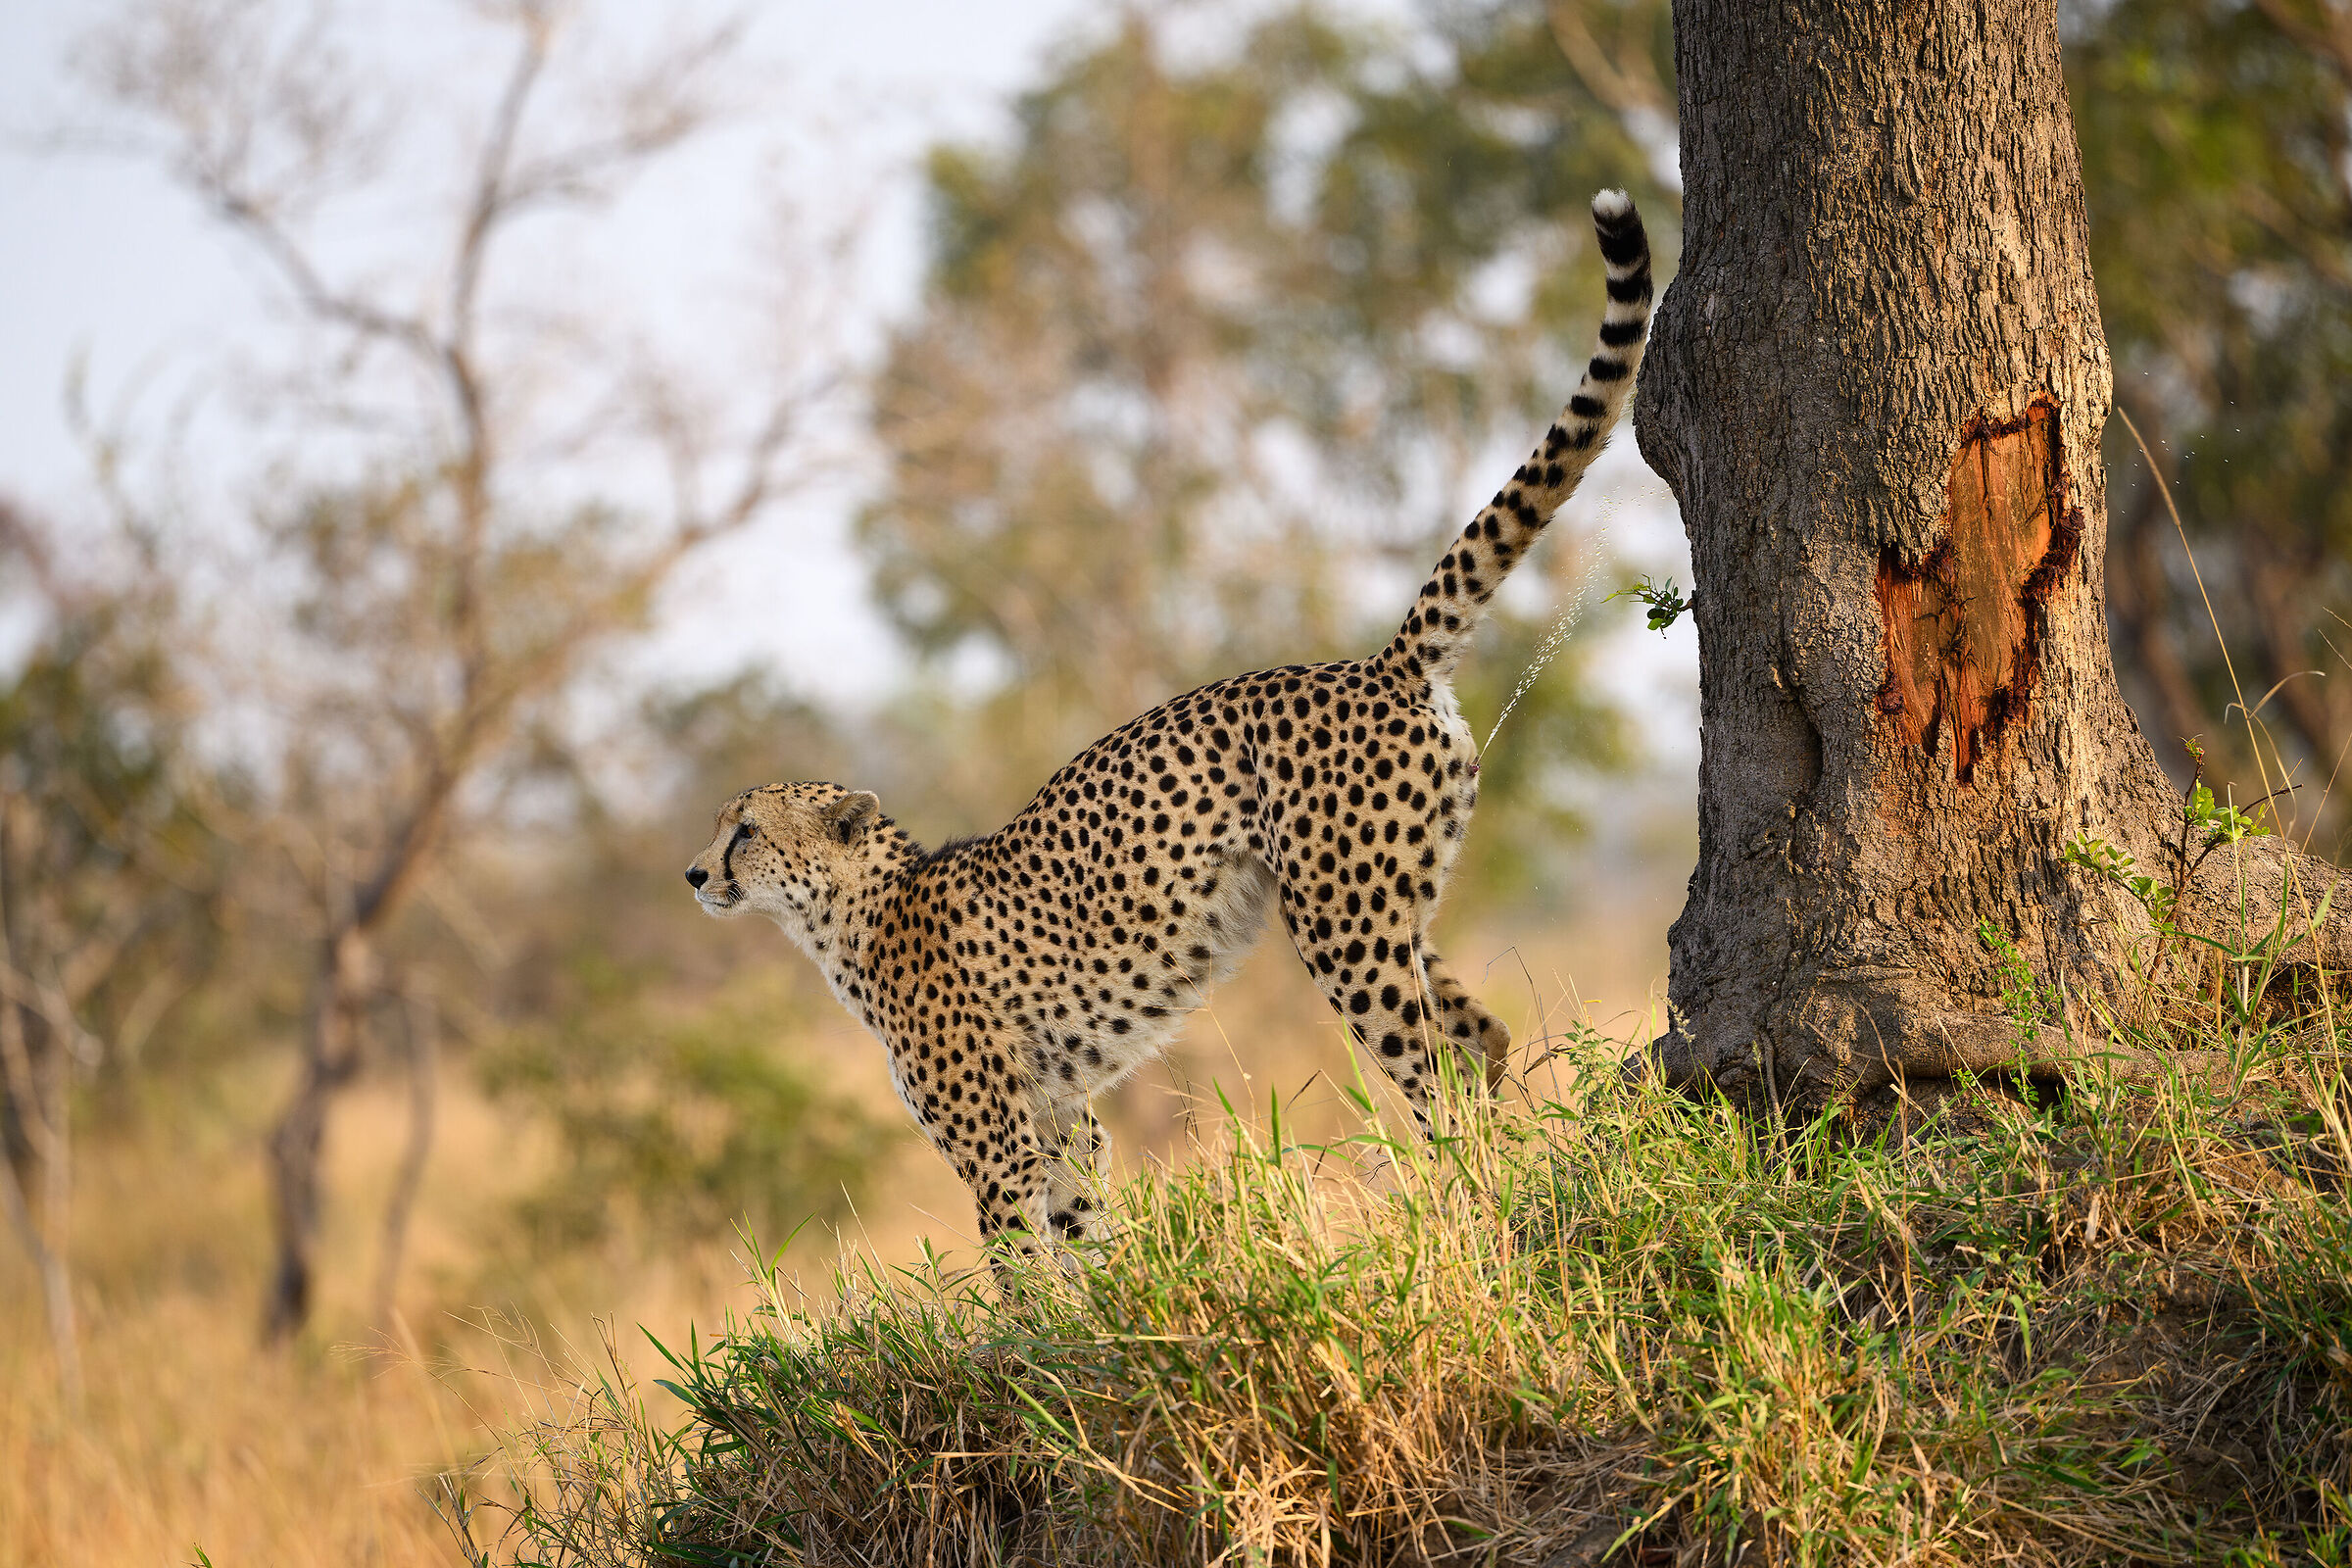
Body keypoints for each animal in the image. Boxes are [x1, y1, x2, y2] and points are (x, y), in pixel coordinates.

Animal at [685, 190, 1652, 1256]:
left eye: (743, 830)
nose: (693, 873)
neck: (851, 919)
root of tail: (1375, 665)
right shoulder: (1063, 1121)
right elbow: (1084, 1234)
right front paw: (1106, 1287)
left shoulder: (997, 1147)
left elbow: (1021, 1266)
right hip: (1388, 902)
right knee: (1484, 1034)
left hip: (1345, 928)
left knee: (1435, 1067)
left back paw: (1467, 1210)